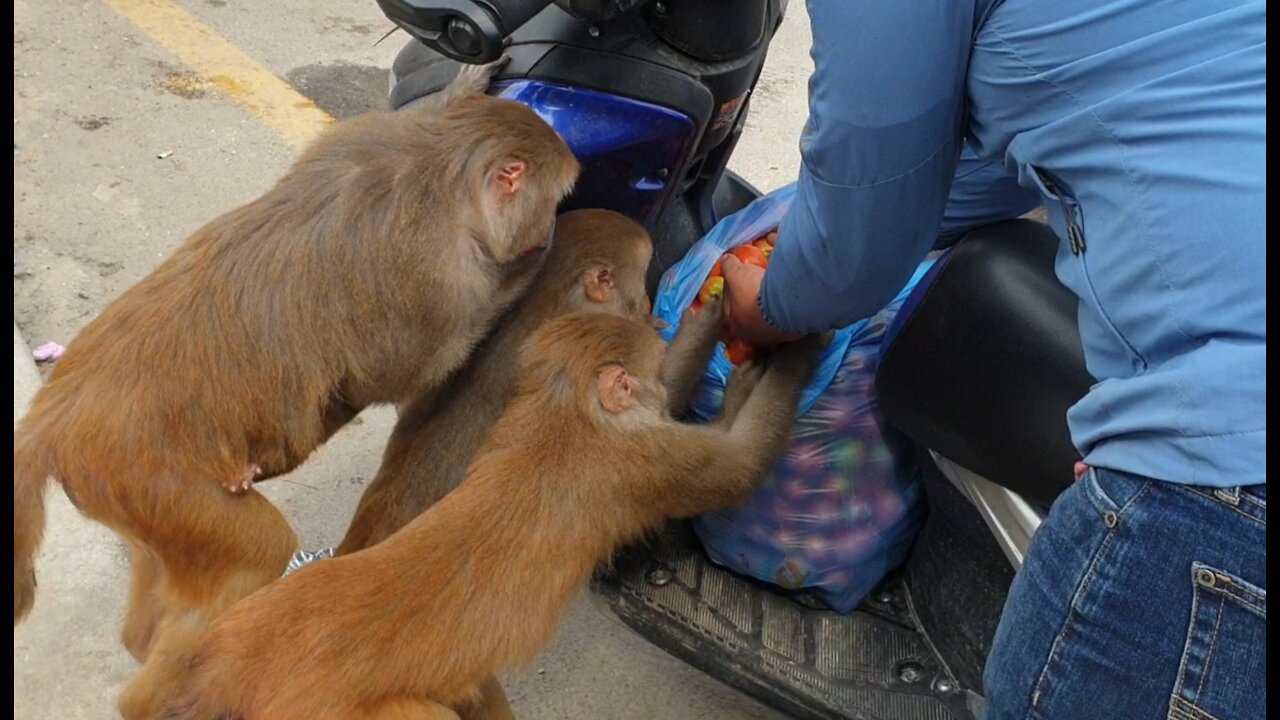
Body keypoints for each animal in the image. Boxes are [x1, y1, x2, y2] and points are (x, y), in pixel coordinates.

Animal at [8, 60, 581, 717]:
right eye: (556, 198)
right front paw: (538, 262)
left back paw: (142, 642)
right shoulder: (441, 280)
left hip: (129, 495)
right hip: (147, 476)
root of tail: (53, 415)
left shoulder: (369, 135)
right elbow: (409, 372)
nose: (545, 224)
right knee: (258, 549)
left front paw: (466, 83)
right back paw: (162, 691)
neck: (440, 172)